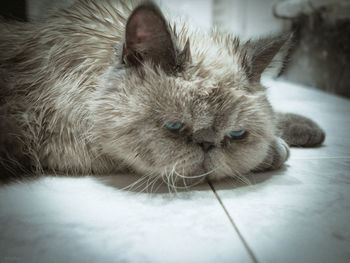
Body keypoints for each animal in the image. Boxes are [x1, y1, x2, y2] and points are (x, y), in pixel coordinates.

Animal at [0, 0, 326, 187]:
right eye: (173, 127)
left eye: (235, 135)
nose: (207, 144)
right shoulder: (78, 146)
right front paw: (276, 149)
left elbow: (281, 119)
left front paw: (308, 132)